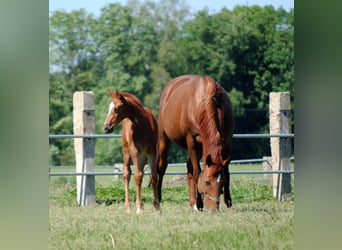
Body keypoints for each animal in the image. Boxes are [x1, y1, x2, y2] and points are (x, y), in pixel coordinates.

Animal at [156, 74, 234, 211]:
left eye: (222, 182)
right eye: (207, 182)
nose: (213, 208)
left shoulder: (227, 140)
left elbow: (226, 171)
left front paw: (228, 200)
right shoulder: (191, 141)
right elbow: (198, 172)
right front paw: (200, 203)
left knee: (189, 167)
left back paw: (192, 203)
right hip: (164, 138)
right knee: (162, 166)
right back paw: (159, 200)